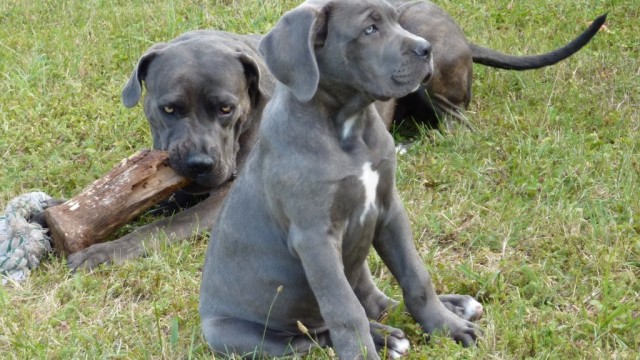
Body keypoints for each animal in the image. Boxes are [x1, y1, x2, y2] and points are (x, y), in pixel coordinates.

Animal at [69, 0, 604, 270]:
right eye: (168, 109)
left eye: (225, 108)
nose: (199, 165)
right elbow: (154, 205)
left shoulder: (222, 202)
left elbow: (158, 230)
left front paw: (100, 252)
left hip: (426, 66)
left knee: (457, 122)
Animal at [201, 1, 480, 358]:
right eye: (369, 30)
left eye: (395, 19)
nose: (427, 48)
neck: (349, 127)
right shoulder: (315, 238)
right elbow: (345, 311)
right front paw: (364, 351)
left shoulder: (388, 210)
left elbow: (416, 276)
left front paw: (446, 326)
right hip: (237, 335)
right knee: (315, 335)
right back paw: (386, 337)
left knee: (374, 303)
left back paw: (454, 307)